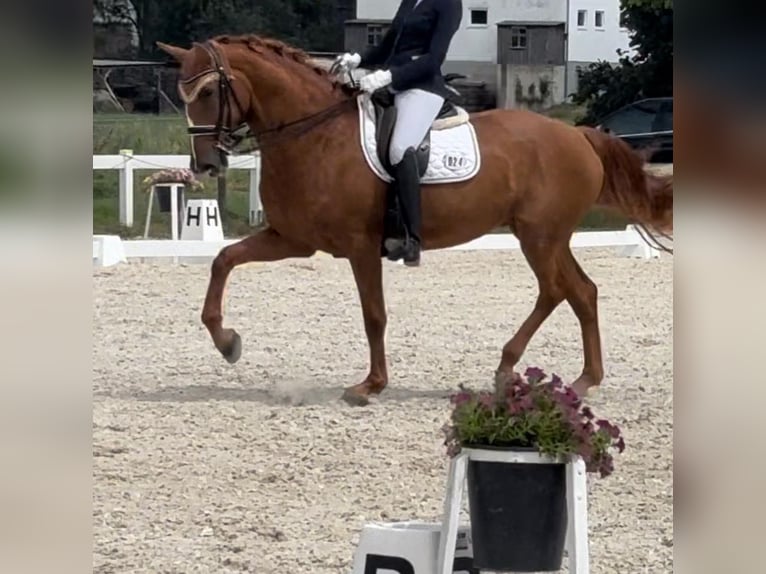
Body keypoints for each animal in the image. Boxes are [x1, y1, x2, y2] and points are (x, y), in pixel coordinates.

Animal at [156, 35, 672, 404]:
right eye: (183, 92)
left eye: (208, 90)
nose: (206, 164)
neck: (313, 135)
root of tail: (580, 135)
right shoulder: (292, 238)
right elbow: (223, 259)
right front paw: (227, 342)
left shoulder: (360, 246)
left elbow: (373, 314)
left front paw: (371, 385)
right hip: (548, 236)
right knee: (579, 291)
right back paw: (576, 379)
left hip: (540, 236)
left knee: (559, 291)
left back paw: (524, 371)